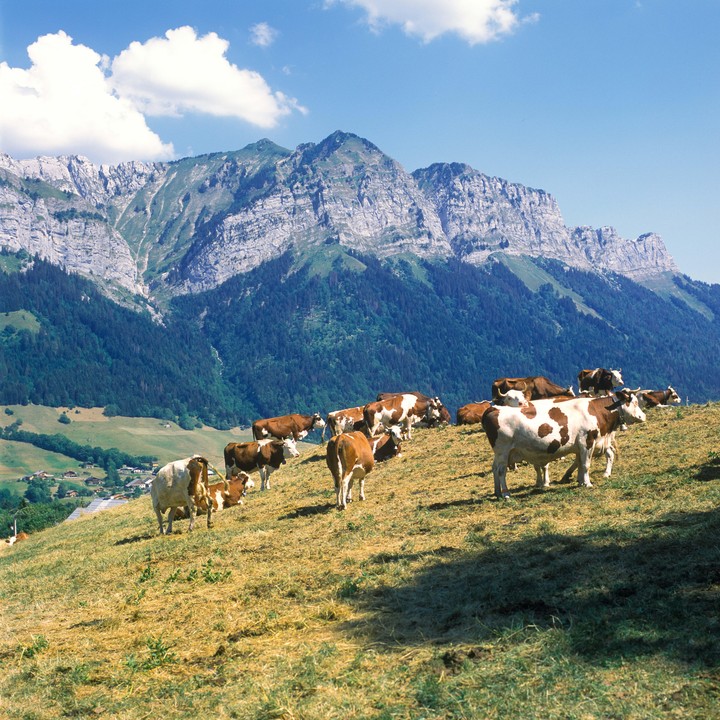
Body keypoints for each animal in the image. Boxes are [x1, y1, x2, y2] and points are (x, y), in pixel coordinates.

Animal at [481, 390, 646, 498]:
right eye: (635, 403)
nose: (643, 416)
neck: (595, 410)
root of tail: (494, 408)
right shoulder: (587, 441)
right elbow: (586, 465)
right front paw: (587, 483)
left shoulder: (580, 446)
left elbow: (580, 463)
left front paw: (580, 482)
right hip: (503, 451)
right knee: (501, 471)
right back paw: (506, 493)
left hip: (500, 453)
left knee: (495, 469)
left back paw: (497, 492)